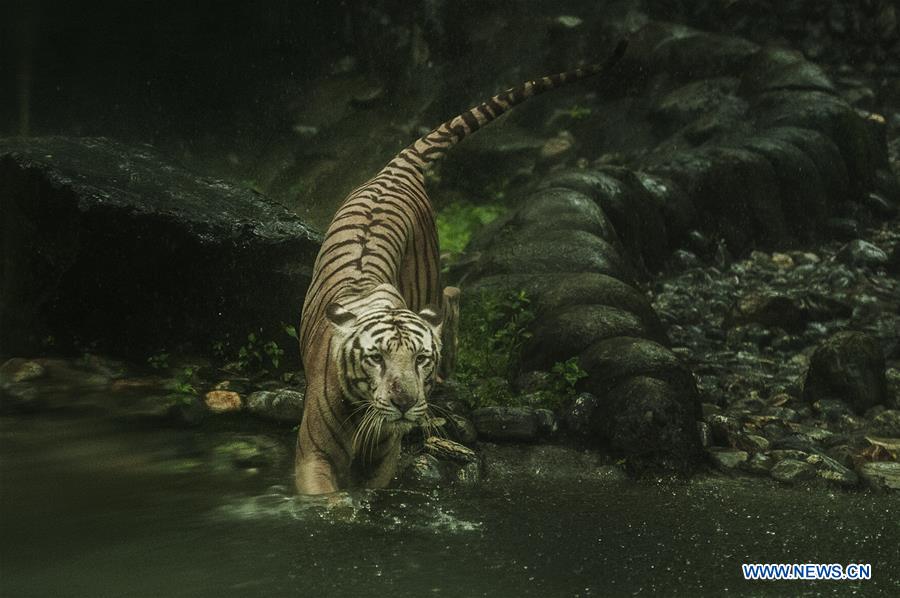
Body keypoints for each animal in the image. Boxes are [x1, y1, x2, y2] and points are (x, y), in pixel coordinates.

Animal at [294, 40, 628, 494]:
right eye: (376, 358)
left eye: (420, 358)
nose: (405, 402)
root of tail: (393, 170)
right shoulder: (313, 456)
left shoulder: (382, 460)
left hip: (426, 278)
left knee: (450, 297)